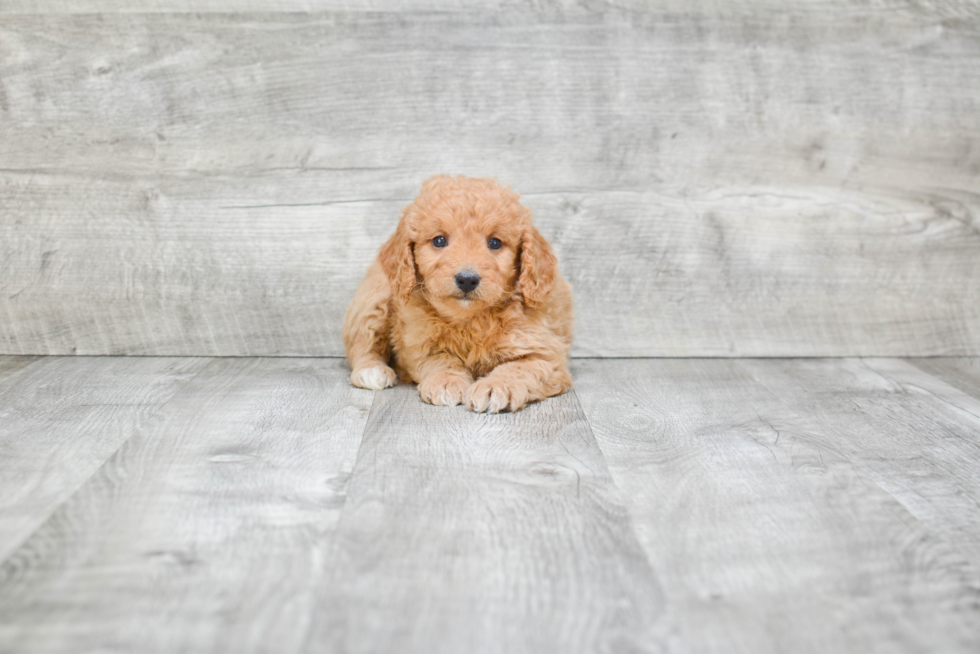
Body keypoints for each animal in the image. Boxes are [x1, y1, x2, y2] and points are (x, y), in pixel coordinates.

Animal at [344, 173, 576, 410]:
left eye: (495, 243)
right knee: (362, 342)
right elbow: (440, 360)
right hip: (375, 299)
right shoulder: (419, 345)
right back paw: (371, 370)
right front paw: (446, 382)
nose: (467, 279)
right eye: (439, 240)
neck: (469, 319)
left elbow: (518, 369)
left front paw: (495, 387)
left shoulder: (545, 355)